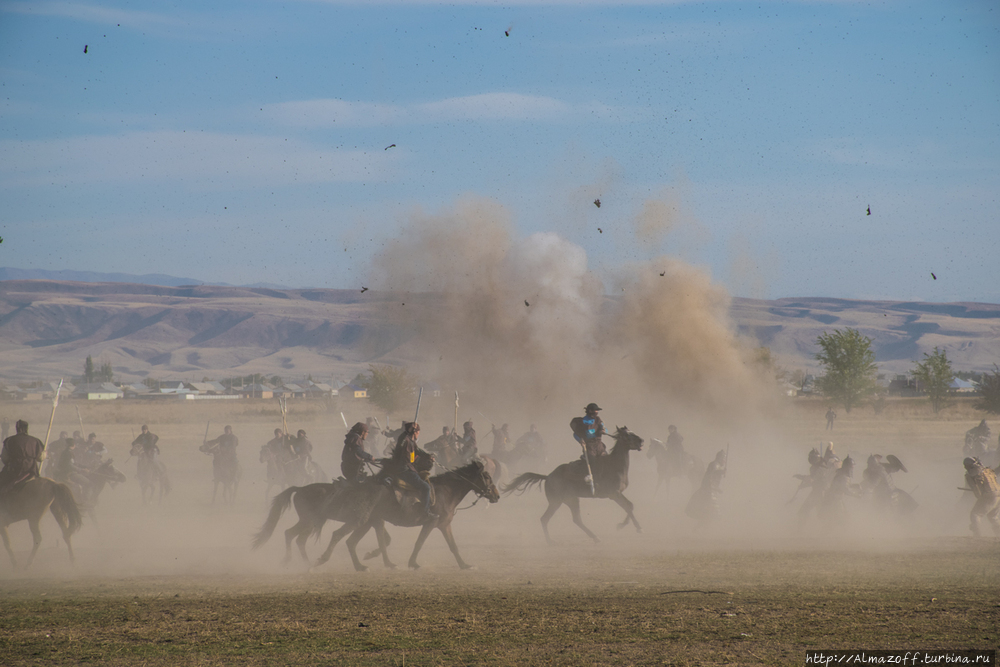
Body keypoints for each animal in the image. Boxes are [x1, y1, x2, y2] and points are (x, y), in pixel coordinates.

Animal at [504, 428, 644, 548]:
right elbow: (628, 507)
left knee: (576, 519)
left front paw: (624, 525)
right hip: (556, 502)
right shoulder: (614, 494)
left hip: (571, 500)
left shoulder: (618, 493)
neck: (615, 465)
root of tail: (548, 477)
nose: (641, 440)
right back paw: (551, 541)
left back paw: (595, 537)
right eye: (627, 435)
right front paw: (635, 527)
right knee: (545, 519)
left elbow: (630, 506)